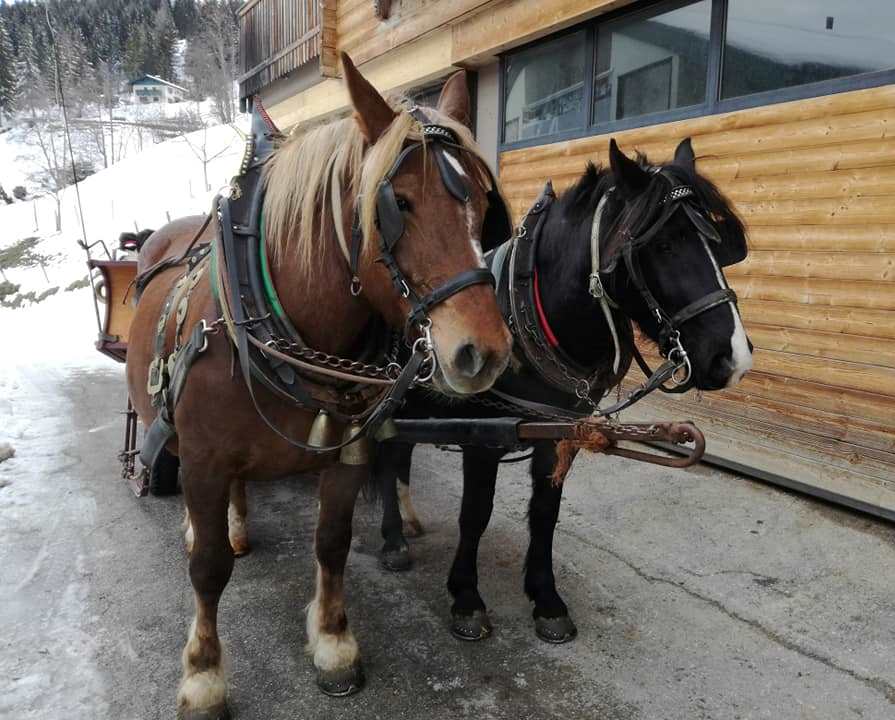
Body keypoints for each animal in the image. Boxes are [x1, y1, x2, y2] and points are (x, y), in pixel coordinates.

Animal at [130, 53, 516, 716]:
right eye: (399, 204)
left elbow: (333, 542)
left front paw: (334, 642)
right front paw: (203, 674)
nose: (482, 351)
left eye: (484, 200)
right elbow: (207, 569)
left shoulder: (347, 453)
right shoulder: (205, 460)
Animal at [374, 138, 752, 644]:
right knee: (384, 457)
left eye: (719, 245)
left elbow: (545, 512)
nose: (734, 358)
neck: (527, 311)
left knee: (398, 456)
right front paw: (467, 597)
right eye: (663, 244)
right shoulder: (484, 433)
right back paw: (394, 539)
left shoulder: (557, 433)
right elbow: (476, 512)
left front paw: (546, 599)